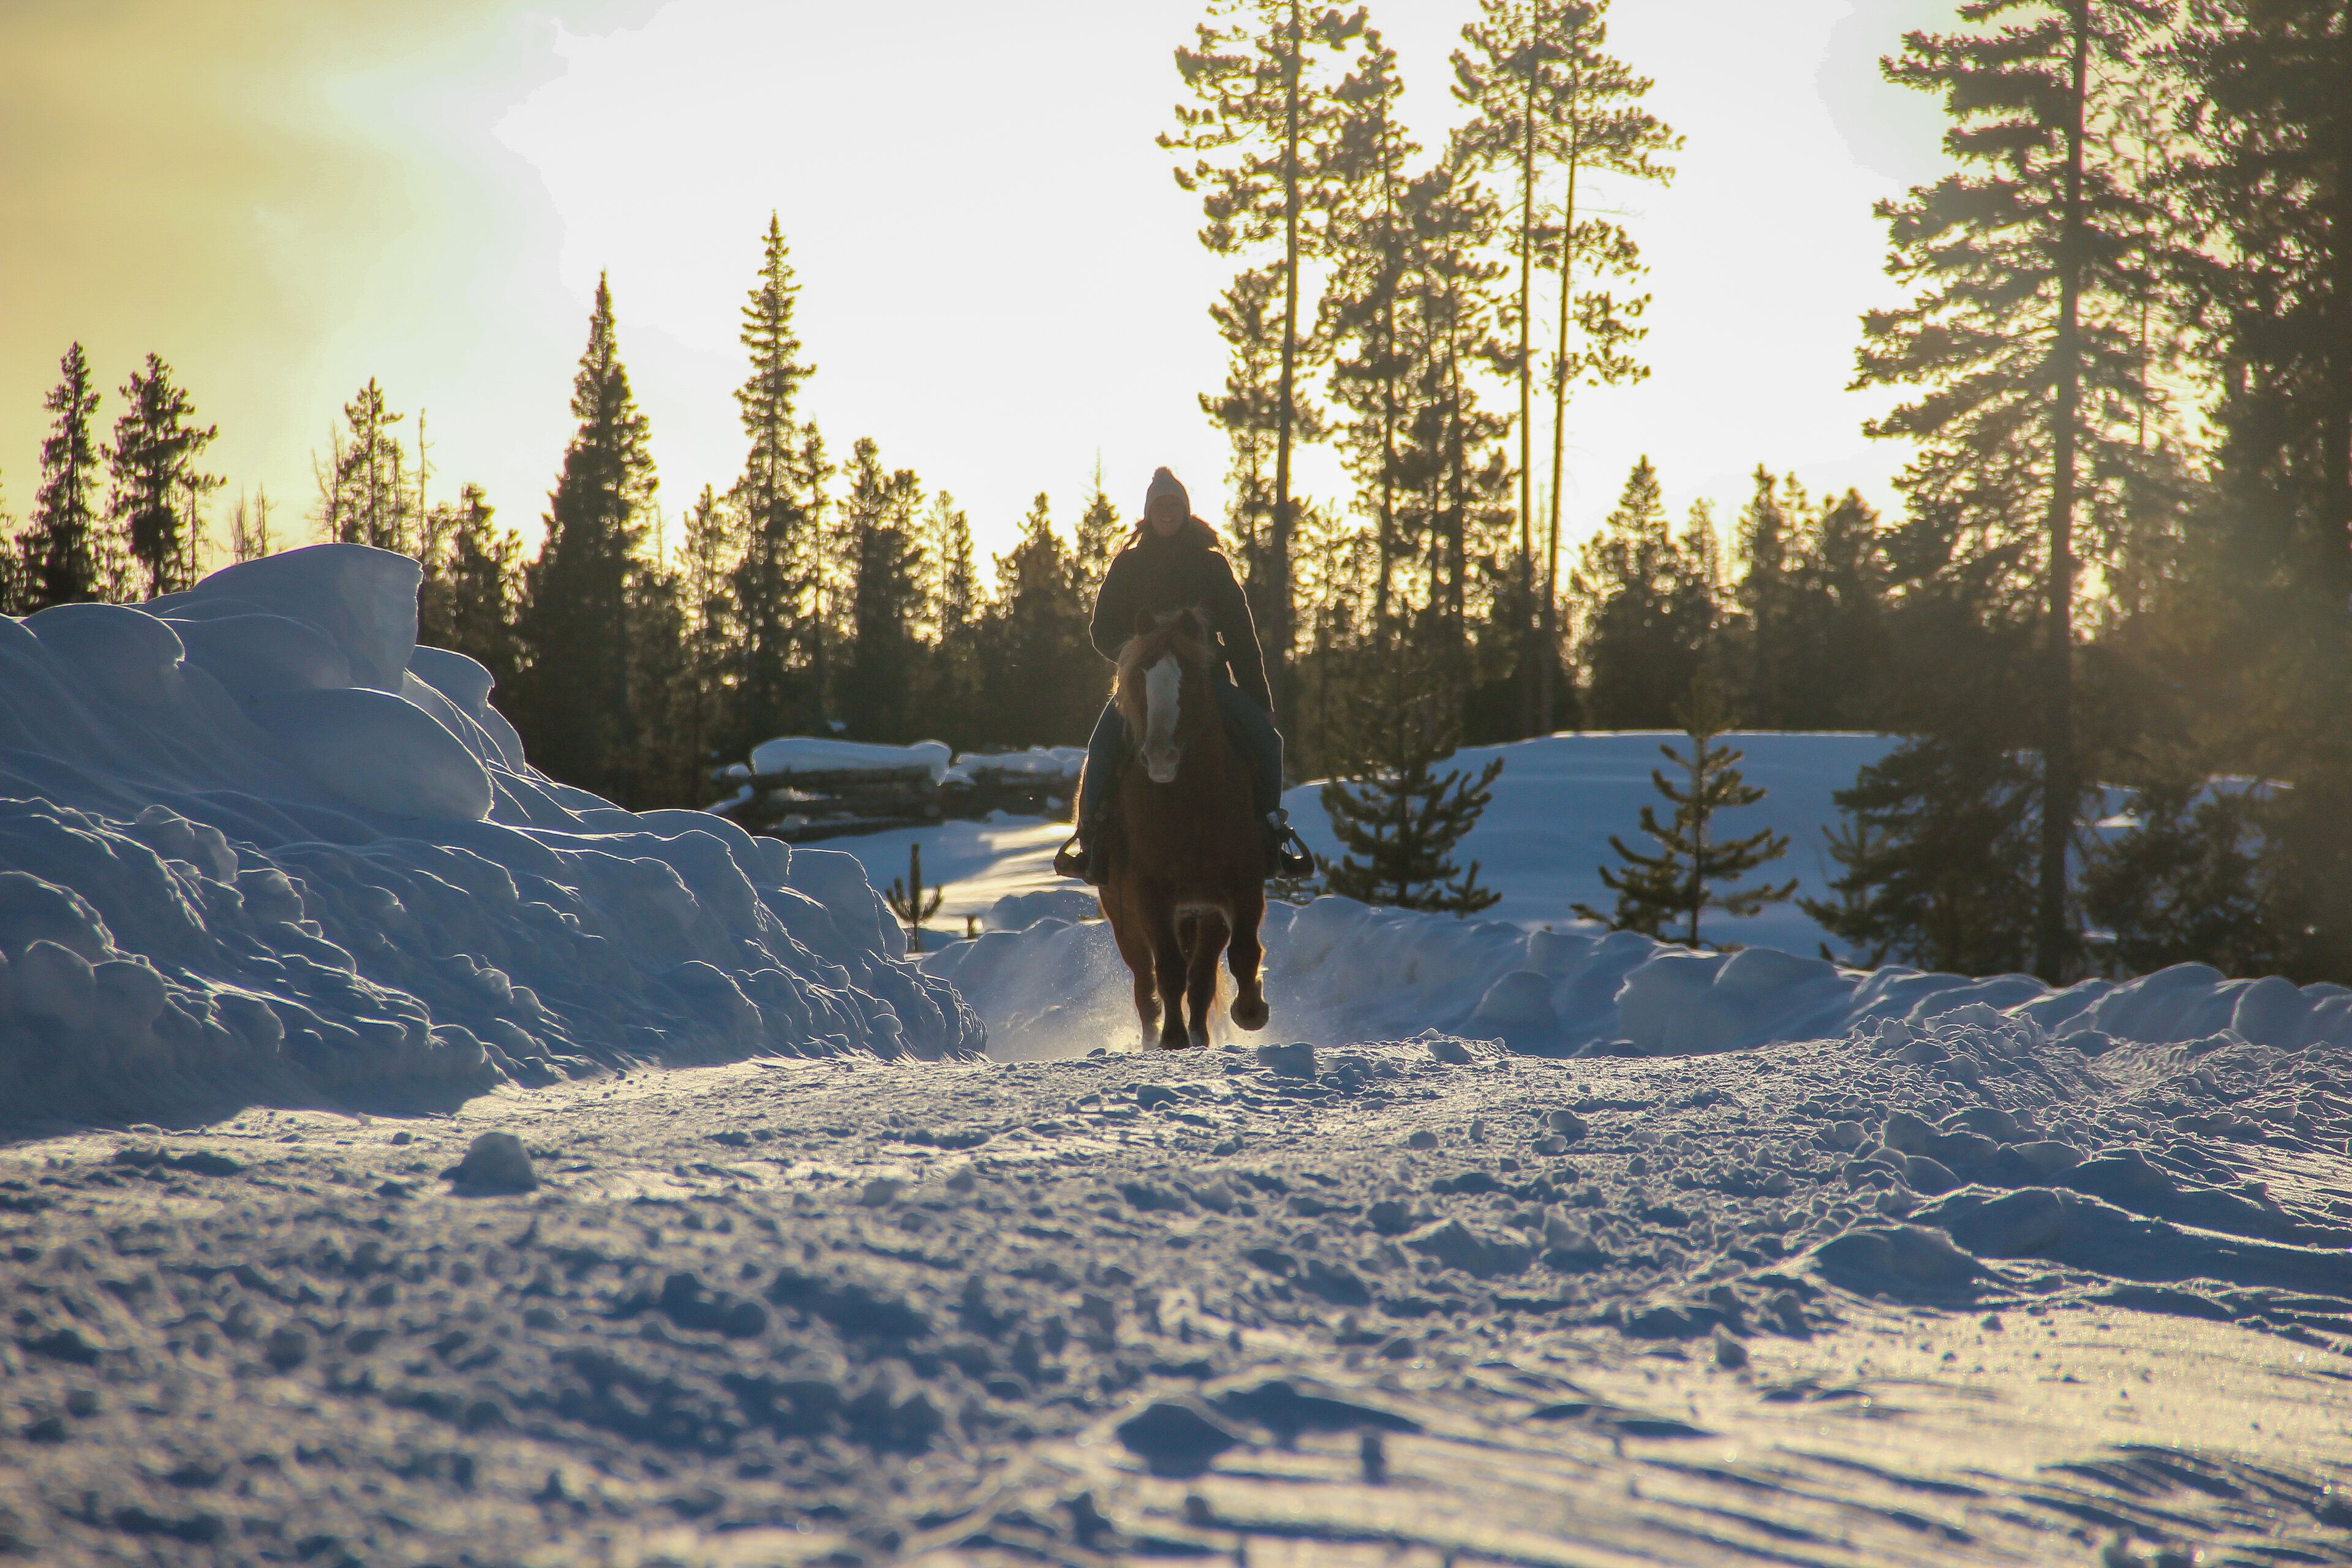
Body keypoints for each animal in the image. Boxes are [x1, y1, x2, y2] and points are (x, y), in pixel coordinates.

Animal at [1091, 606, 1270, 1050]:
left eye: (1192, 679)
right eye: (1139, 679)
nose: (1160, 757)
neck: (1190, 807)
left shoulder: (1240, 890)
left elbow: (1240, 954)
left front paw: (1251, 1011)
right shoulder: (1150, 897)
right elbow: (1169, 970)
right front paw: (1173, 1038)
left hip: (1199, 914)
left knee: (1201, 976)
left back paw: (1201, 1033)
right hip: (1124, 917)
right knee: (1146, 981)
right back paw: (1153, 1036)